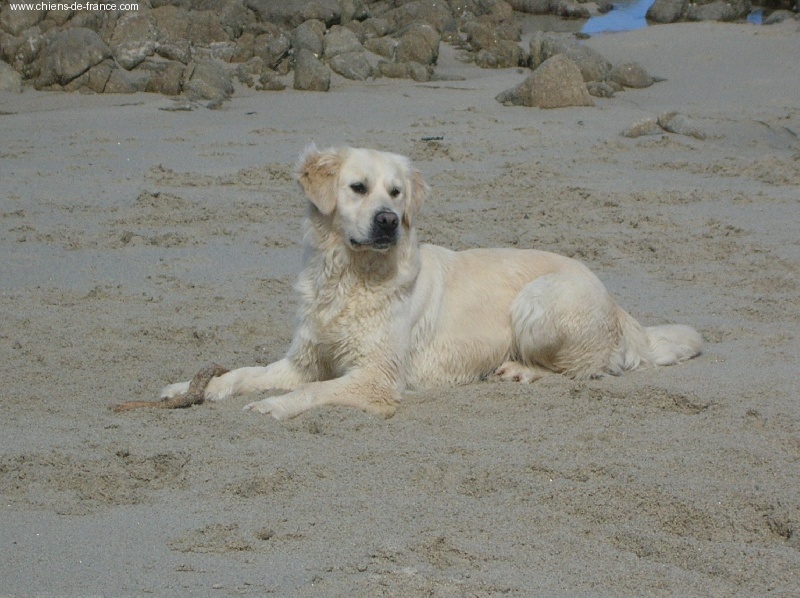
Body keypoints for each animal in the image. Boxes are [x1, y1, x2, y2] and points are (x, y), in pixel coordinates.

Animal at [160, 145, 702, 419]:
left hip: (538, 301)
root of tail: (619, 307)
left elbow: (317, 392)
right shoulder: (303, 360)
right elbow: (243, 374)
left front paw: (275, 404)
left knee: (584, 370)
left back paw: (520, 370)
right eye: (358, 188)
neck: (350, 278)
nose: (387, 221)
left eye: (396, 193)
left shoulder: (377, 375)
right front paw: (189, 387)